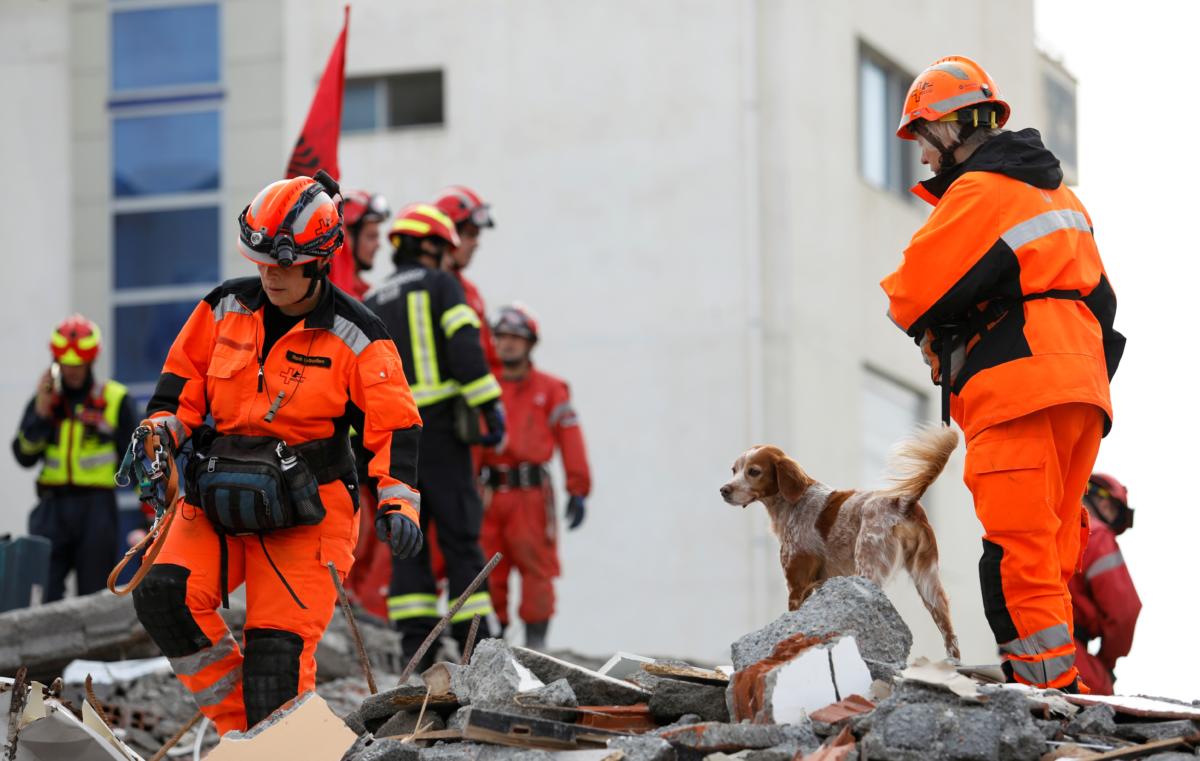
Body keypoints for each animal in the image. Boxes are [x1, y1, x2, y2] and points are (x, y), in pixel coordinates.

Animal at [715, 427, 960, 657]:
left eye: (754, 471)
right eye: (734, 470)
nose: (724, 490)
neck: (794, 503)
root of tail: (902, 502)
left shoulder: (797, 584)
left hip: (867, 571)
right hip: (929, 583)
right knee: (951, 638)